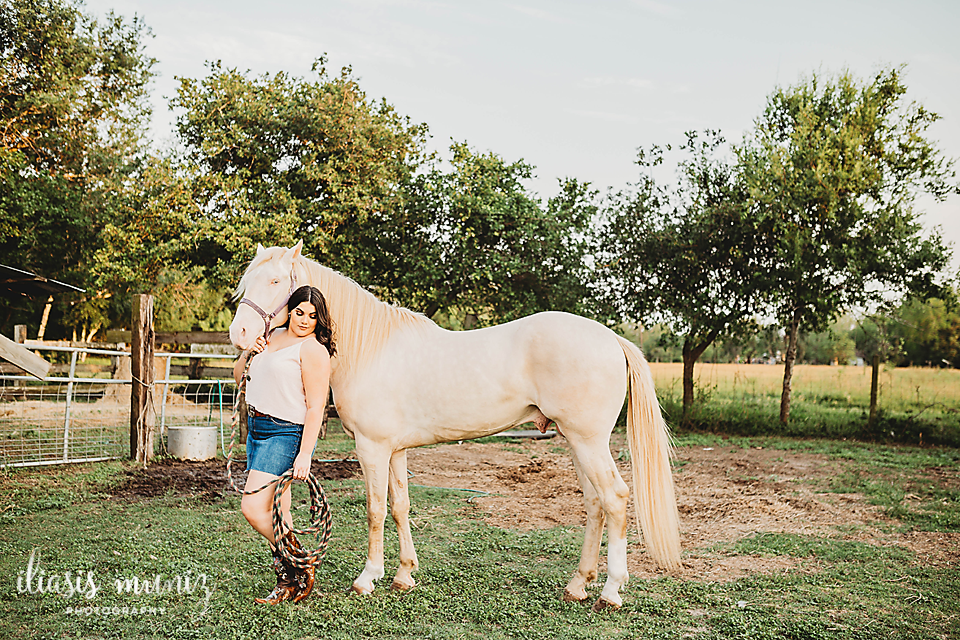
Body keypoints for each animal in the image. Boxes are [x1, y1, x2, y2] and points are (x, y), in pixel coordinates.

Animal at [231, 241, 684, 608]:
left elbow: (375, 510)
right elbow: (400, 506)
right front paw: (403, 575)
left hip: (589, 441)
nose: (240, 333)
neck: (370, 348)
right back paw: (578, 585)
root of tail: (611, 339)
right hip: (576, 442)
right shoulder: (394, 450)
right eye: (246, 282)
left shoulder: (372, 448)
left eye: (275, 281)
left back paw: (610, 591)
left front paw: (367, 578)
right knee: (594, 504)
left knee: (616, 499)